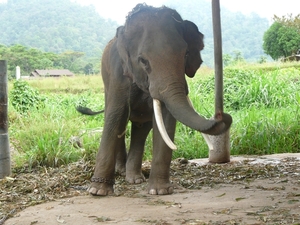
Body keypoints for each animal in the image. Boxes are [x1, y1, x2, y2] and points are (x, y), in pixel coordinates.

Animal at [81, 3, 233, 197]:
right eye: (143, 61)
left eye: (185, 54)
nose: (222, 115)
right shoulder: (117, 74)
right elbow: (116, 115)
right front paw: (97, 191)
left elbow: (166, 119)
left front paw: (160, 191)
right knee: (120, 123)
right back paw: (122, 172)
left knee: (140, 129)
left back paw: (135, 178)